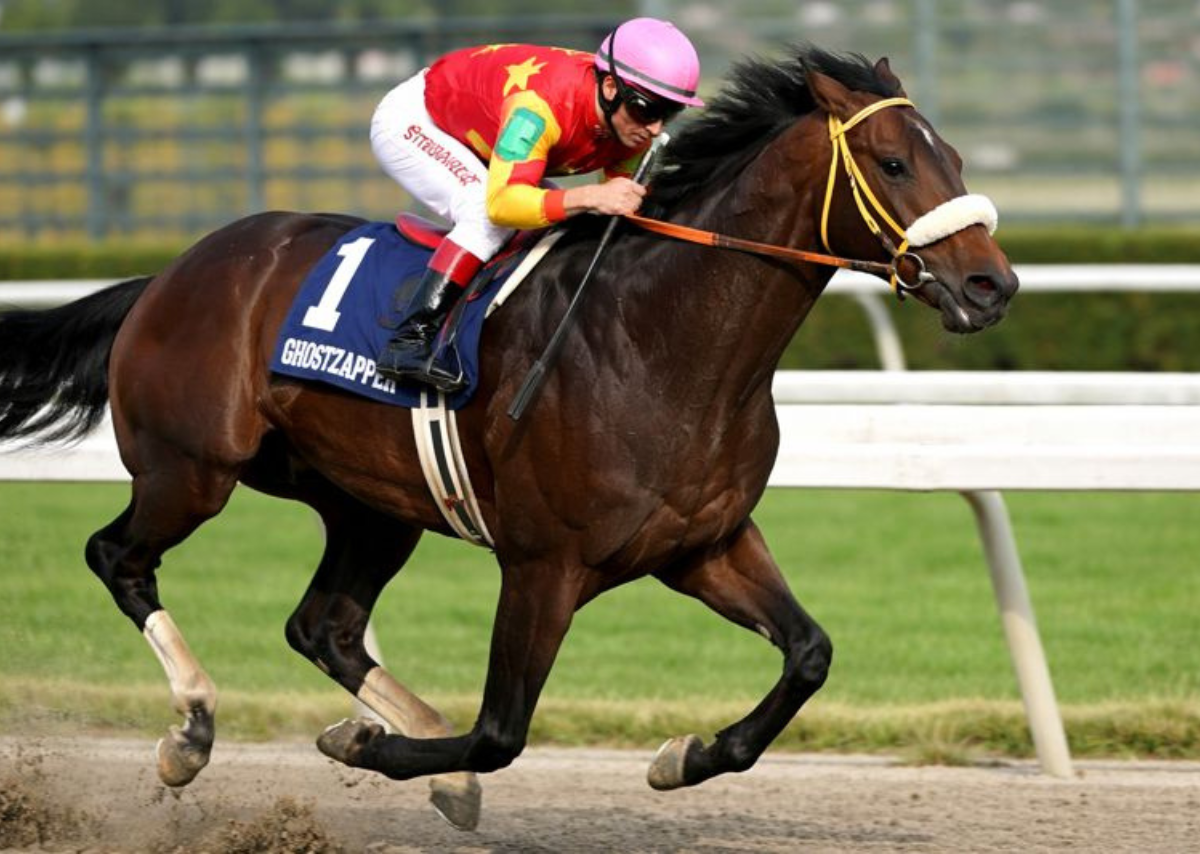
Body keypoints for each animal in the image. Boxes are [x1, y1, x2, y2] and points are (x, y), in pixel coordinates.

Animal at [0, 46, 1016, 830]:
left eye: (957, 157)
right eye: (892, 163)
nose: (992, 285)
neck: (660, 340)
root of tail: (173, 272)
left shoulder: (706, 544)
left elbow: (809, 654)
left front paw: (682, 755)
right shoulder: (543, 564)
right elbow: (501, 732)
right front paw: (370, 747)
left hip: (371, 507)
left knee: (324, 627)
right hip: (191, 468)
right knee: (118, 558)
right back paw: (191, 731)